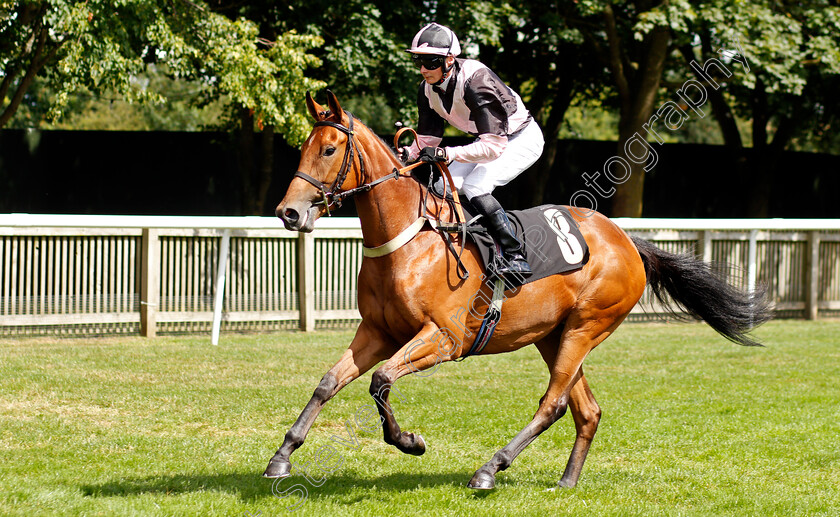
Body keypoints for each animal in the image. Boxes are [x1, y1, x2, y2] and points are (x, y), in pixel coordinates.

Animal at [266, 90, 772, 490]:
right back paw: (566, 481)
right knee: (585, 409)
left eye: (329, 149)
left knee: (553, 404)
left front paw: (410, 442)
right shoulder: (377, 332)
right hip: (554, 335)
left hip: (587, 327)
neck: (409, 243)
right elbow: (328, 383)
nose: (288, 212)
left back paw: (490, 468)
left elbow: (382, 380)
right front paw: (281, 457)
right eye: (303, 148)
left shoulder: (443, 339)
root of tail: (627, 240)